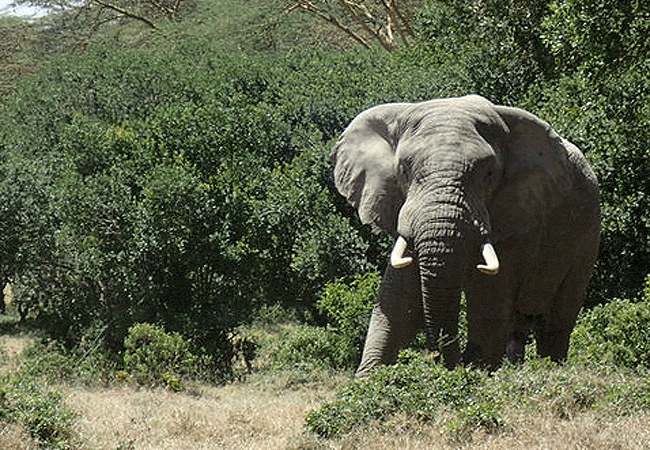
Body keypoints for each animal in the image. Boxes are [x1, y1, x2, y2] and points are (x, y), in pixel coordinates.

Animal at [330, 95, 600, 377]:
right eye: (404, 170)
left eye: (489, 174)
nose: (435, 358)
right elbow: (398, 300)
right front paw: (369, 380)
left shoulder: (517, 218)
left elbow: (488, 302)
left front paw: (475, 373)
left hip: (587, 237)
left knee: (555, 323)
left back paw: (551, 368)